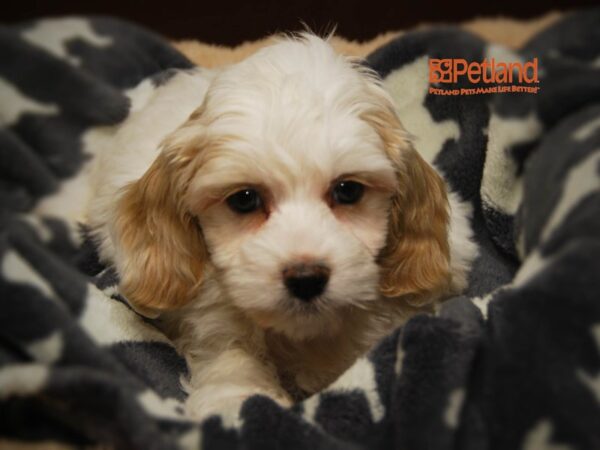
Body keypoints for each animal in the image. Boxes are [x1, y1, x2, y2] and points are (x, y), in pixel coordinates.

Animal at [86, 33, 476, 420]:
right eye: (244, 199)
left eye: (348, 190)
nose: (306, 278)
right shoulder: (211, 317)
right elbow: (230, 352)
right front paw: (239, 399)